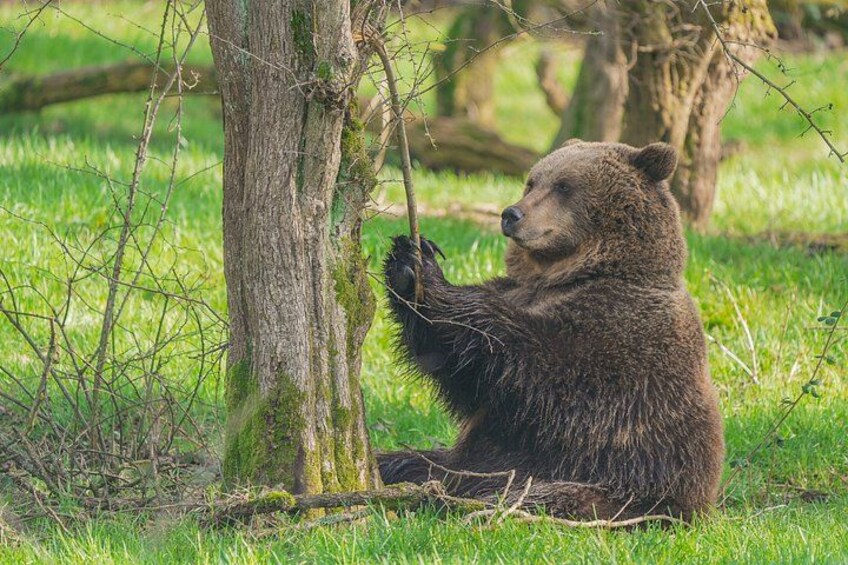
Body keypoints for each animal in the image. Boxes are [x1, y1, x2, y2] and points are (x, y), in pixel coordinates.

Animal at [378, 140, 725, 522]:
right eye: (532, 182)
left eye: (564, 186)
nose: (511, 214)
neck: (563, 275)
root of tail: (700, 502)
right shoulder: (518, 291)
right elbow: (457, 370)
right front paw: (407, 259)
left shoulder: (619, 332)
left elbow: (539, 371)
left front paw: (433, 277)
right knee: (415, 463)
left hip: (621, 486)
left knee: (535, 496)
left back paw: (449, 502)